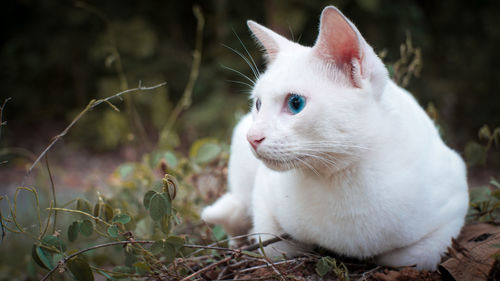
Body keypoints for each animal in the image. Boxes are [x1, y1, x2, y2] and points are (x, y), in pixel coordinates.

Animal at [200, 6, 468, 270]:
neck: (340, 177)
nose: (253, 138)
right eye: (258, 104)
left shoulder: (453, 212)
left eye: (295, 103)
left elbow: (409, 258)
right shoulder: (264, 198)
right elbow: (276, 246)